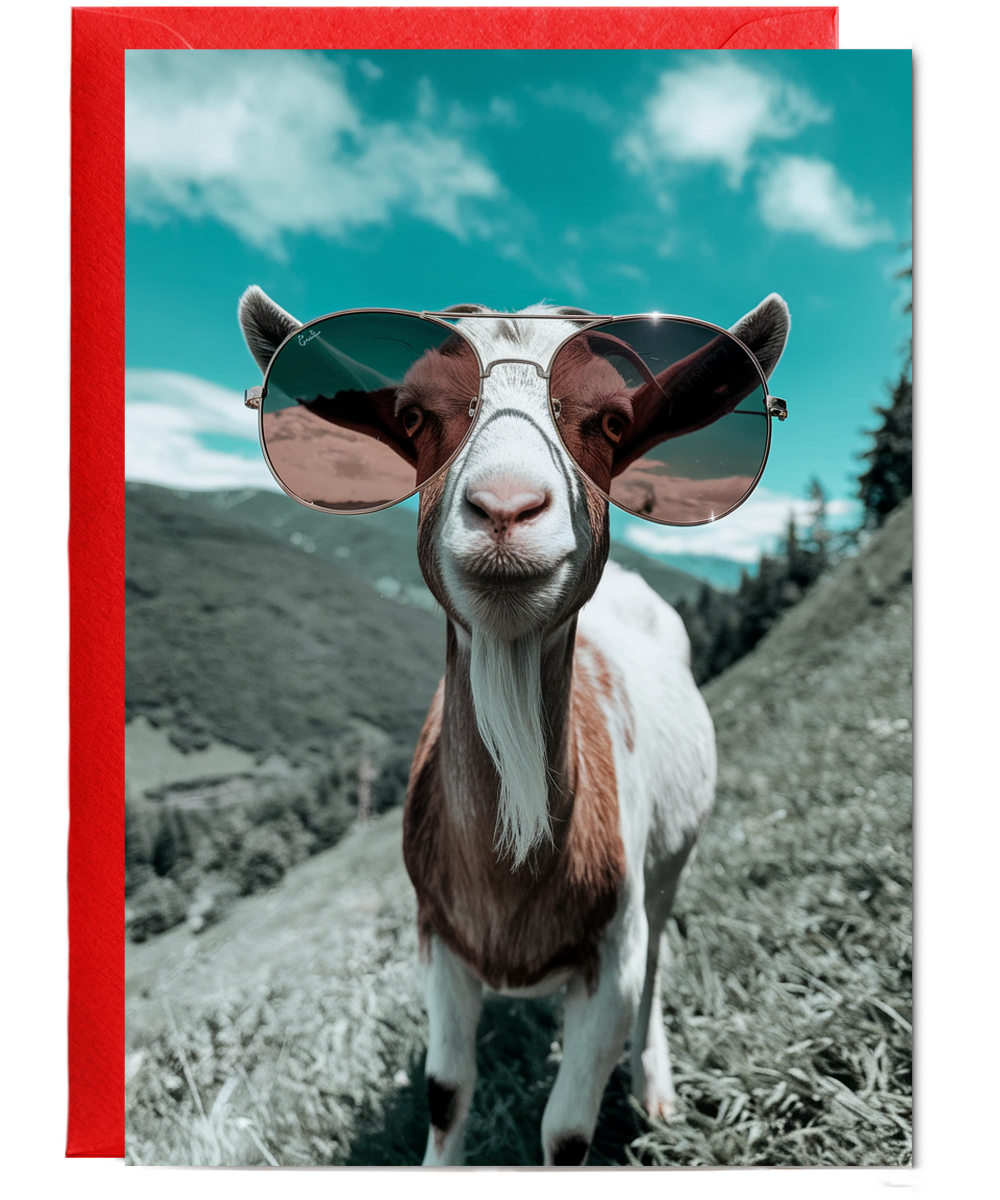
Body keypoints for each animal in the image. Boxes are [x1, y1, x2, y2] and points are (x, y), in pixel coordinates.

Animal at [239, 292, 789, 1166]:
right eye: (413, 415)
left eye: (611, 420)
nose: (505, 508)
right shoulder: (438, 938)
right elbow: (445, 1089)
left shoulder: (612, 950)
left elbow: (566, 1129)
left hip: (672, 863)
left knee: (660, 961)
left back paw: (654, 1086)